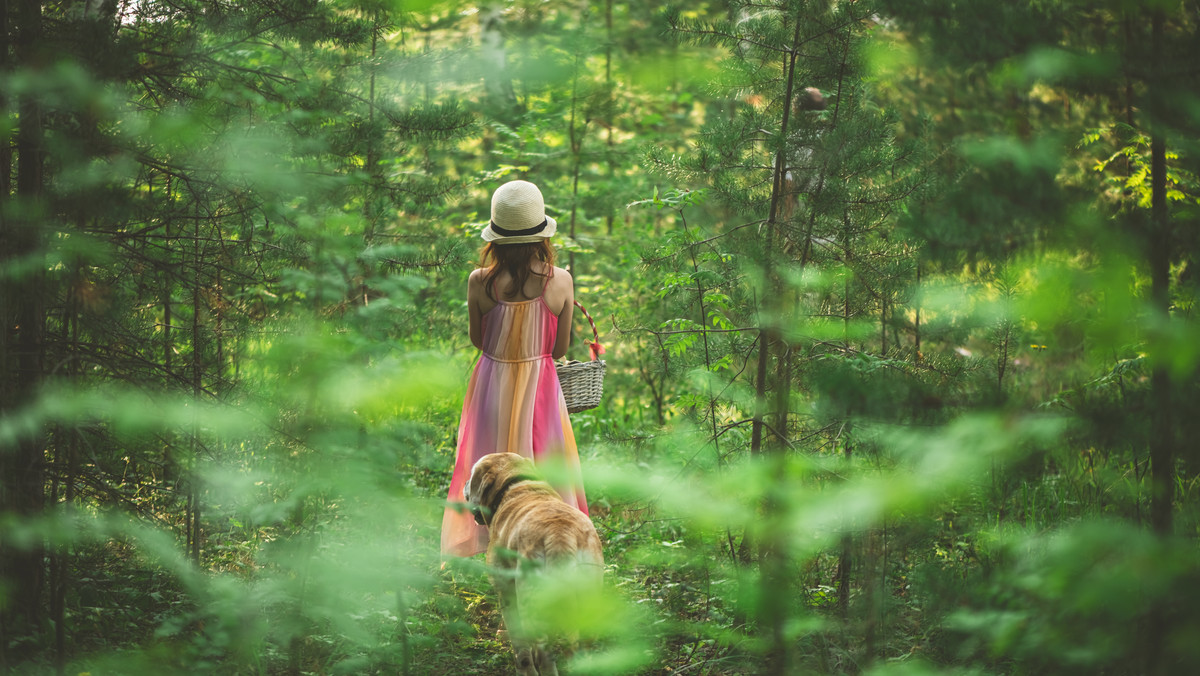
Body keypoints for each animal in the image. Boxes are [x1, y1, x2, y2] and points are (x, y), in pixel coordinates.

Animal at [463, 449, 604, 676]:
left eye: (472, 474)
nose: (465, 483)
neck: (514, 485)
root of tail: (560, 534)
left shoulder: (507, 595)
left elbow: (521, 649)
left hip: (530, 602)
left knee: (542, 654)